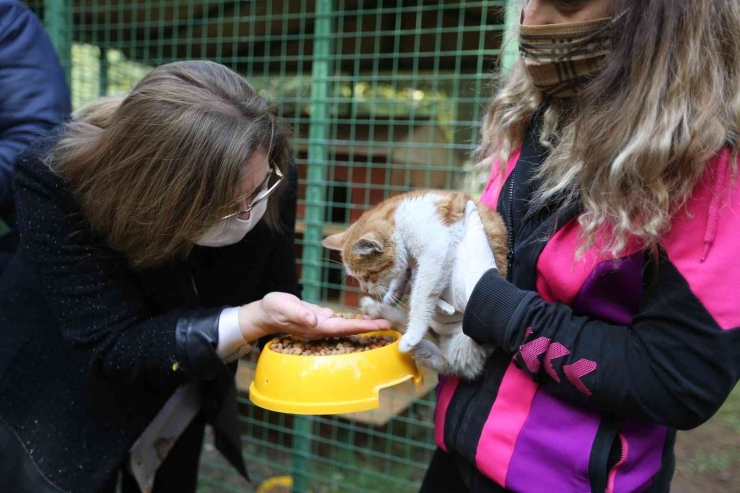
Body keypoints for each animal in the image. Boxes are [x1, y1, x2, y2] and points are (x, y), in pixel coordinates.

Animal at [324, 190, 508, 378]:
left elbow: (421, 297)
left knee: (451, 363)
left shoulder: (435, 253)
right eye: (357, 278)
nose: (365, 290)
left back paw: (413, 343)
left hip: (468, 340)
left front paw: (413, 333)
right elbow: (401, 276)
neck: (401, 219)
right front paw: (391, 297)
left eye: (368, 276)